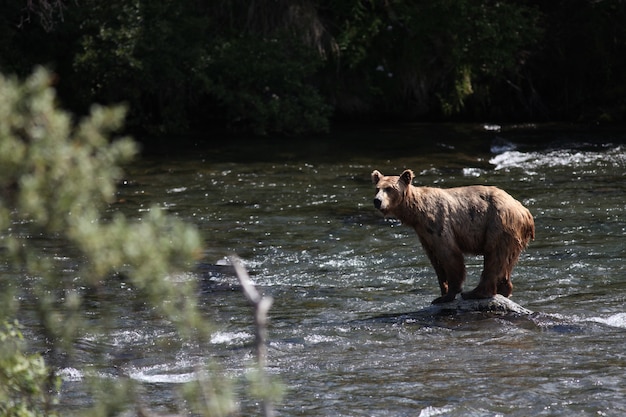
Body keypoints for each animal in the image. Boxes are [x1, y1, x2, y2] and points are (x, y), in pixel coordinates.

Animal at [370, 168, 532, 302]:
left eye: (389, 188)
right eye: (377, 188)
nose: (377, 201)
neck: (416, 214)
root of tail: (524, 211)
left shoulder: (438, 223)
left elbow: (449, 255)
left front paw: (448, 294)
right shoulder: (423, 234)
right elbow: (436, 261)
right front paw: (442, 291)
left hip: (498, 224)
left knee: (494, 257)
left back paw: (475, 293)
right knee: (505, 262)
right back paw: (504, 290)